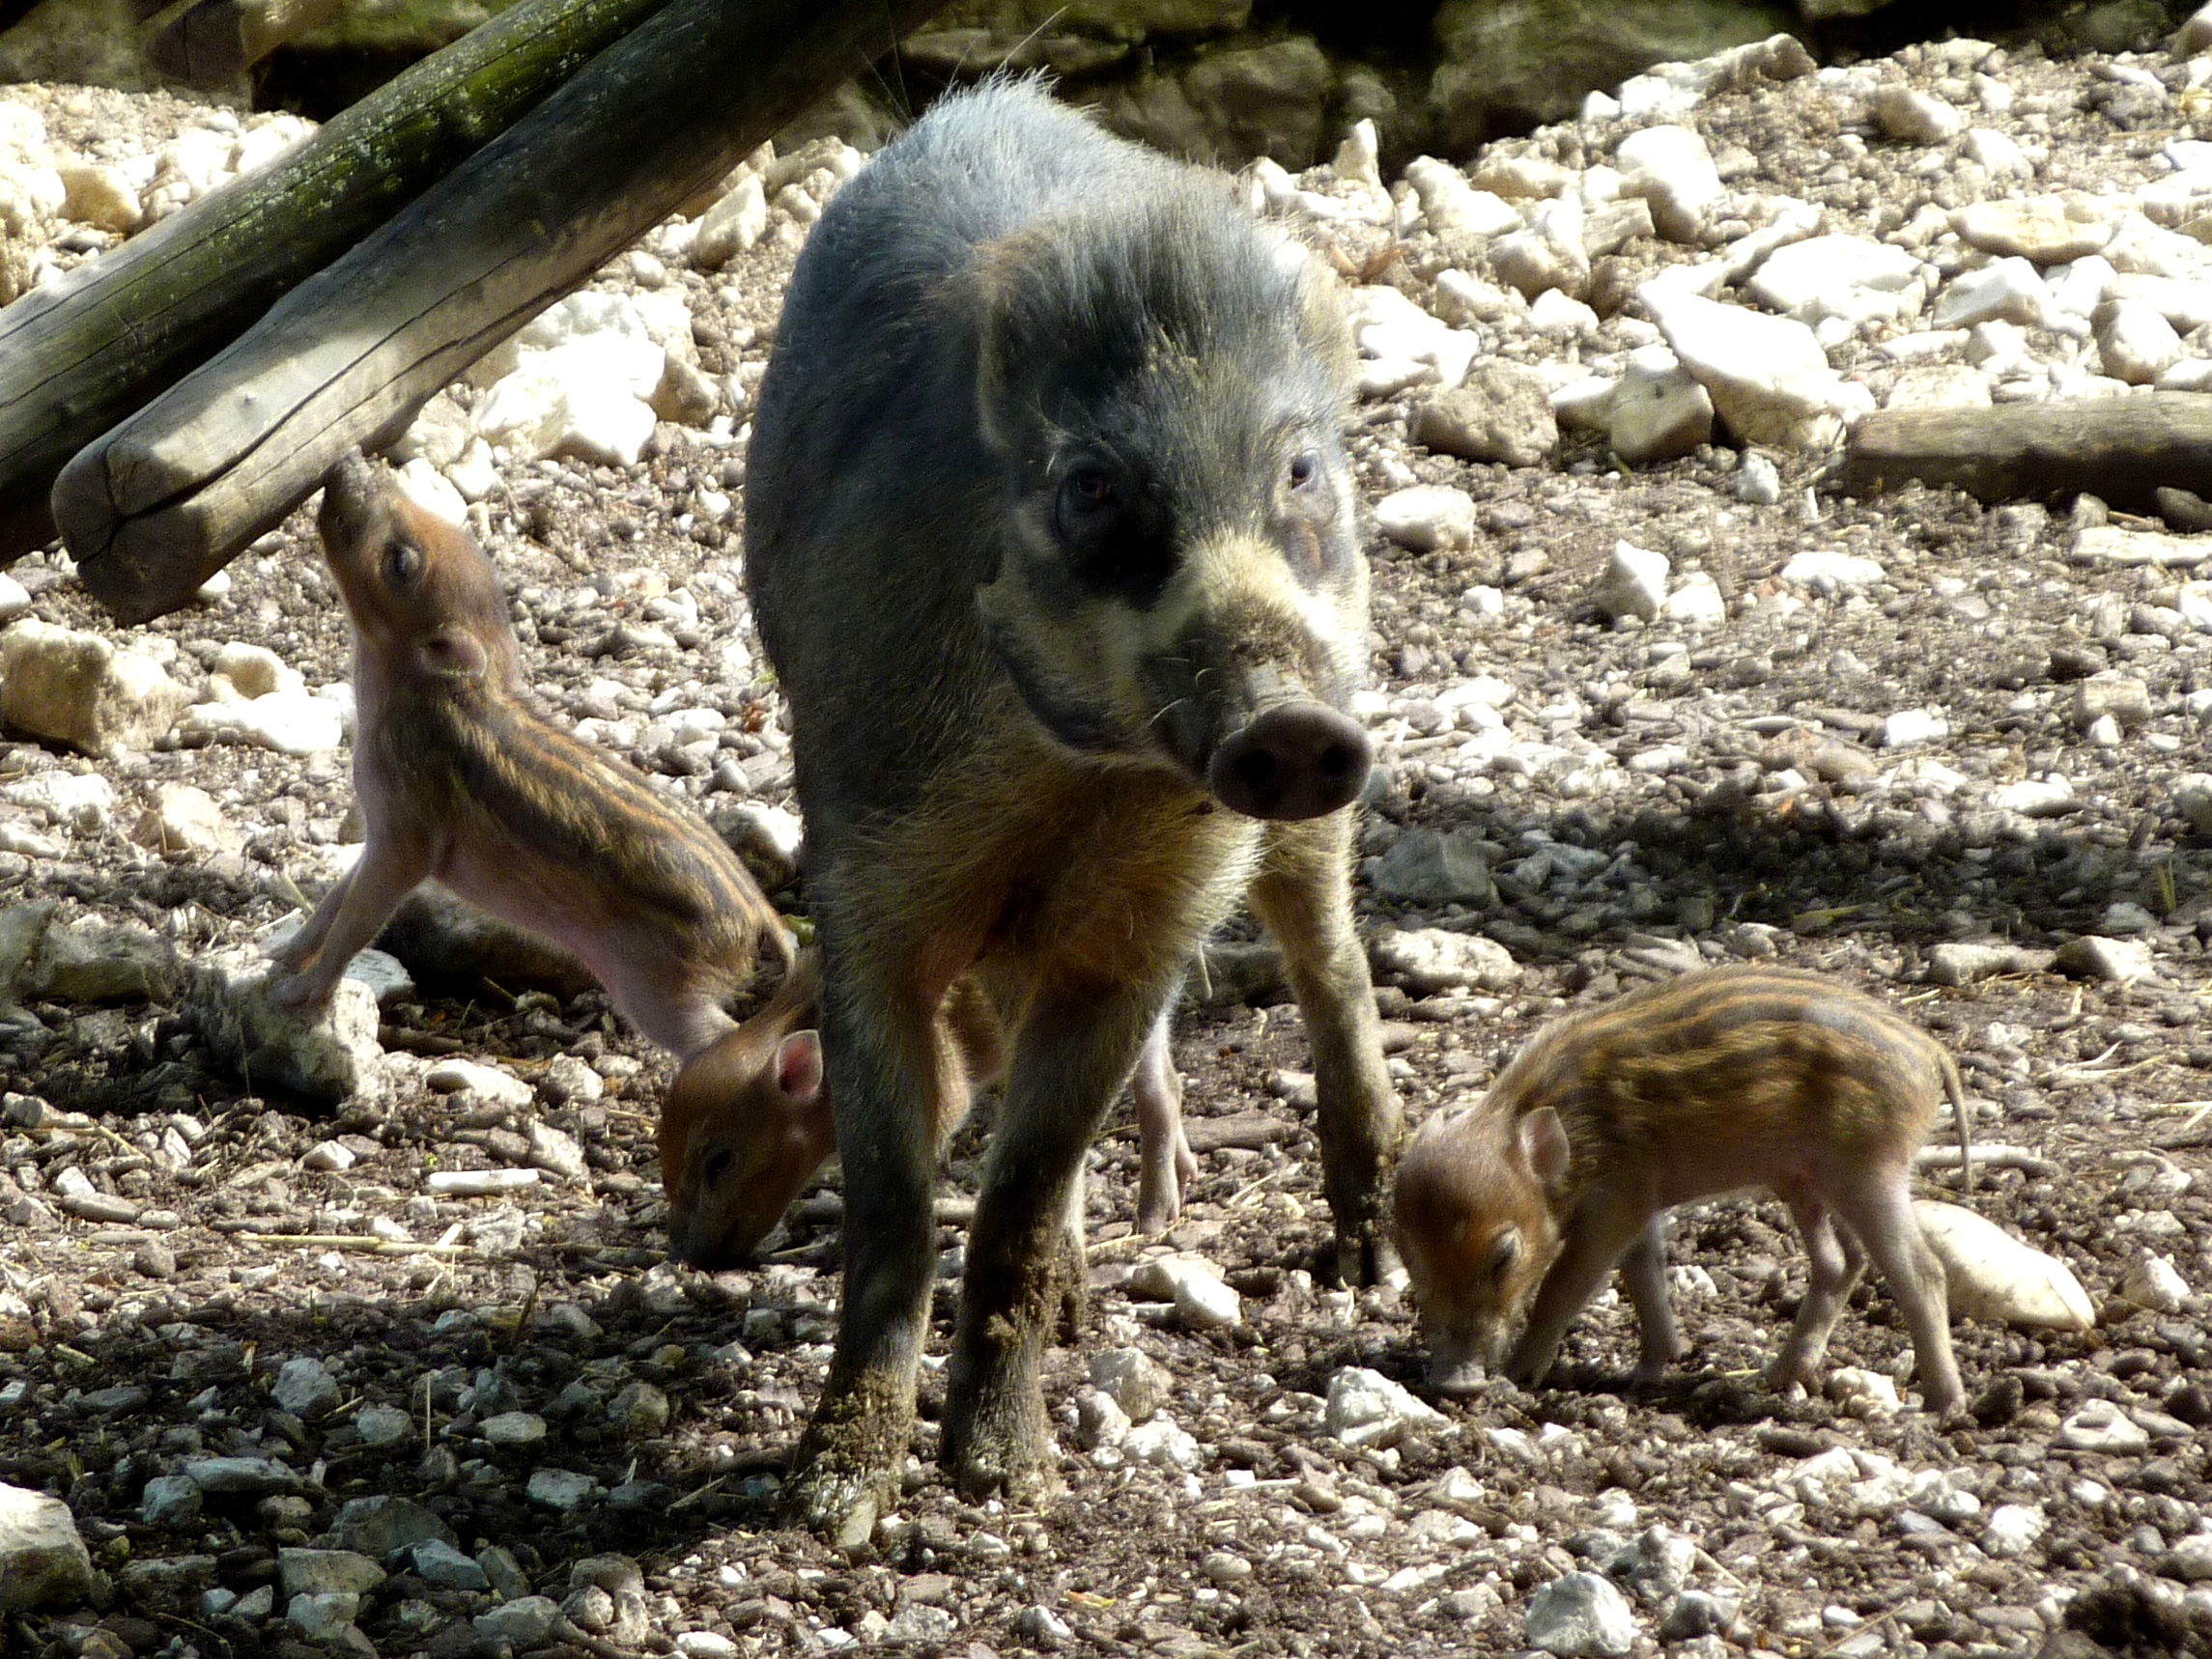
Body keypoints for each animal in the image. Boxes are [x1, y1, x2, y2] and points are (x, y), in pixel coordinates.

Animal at [743, 81, 1398, 1548]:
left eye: (1296, 471)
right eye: (1091, 486)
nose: (1286, 726)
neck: (1073, 787)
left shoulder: (1148, 927)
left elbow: (1024, 1190)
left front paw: (1009, 1484)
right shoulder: (866, 882)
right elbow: (893, 1196)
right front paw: (832, 1503)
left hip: (1323, 779)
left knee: (1332, 964)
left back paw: (1368, 1264)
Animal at [1398, 969, 1972, 1424]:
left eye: (1504, 1258)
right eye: (1414, 1266)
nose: (1454, 1384)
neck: (1571, 1139)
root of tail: (1931, 1051)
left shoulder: (1618, 1200)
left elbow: (1564, 1286)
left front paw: (1519, 1373)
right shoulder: (1639, 1203)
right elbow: (1644, 1273)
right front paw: (1649, 1370)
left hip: (1867, 1171)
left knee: (1920, 1271)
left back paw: (1943, 1406)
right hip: (1807, 1180)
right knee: (1841, 1261)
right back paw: (1778, 1374)